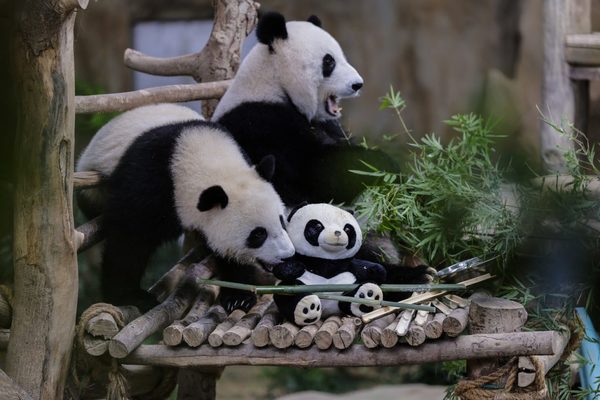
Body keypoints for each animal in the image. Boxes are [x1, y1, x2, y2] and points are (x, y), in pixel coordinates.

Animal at [76, 104, 296, 310]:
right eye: (258, 234)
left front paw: (238, 296)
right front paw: (128, 297)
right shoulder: (151, 178)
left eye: (282, 221)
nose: (287, 256)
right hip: (95, 187)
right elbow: (130, 237)